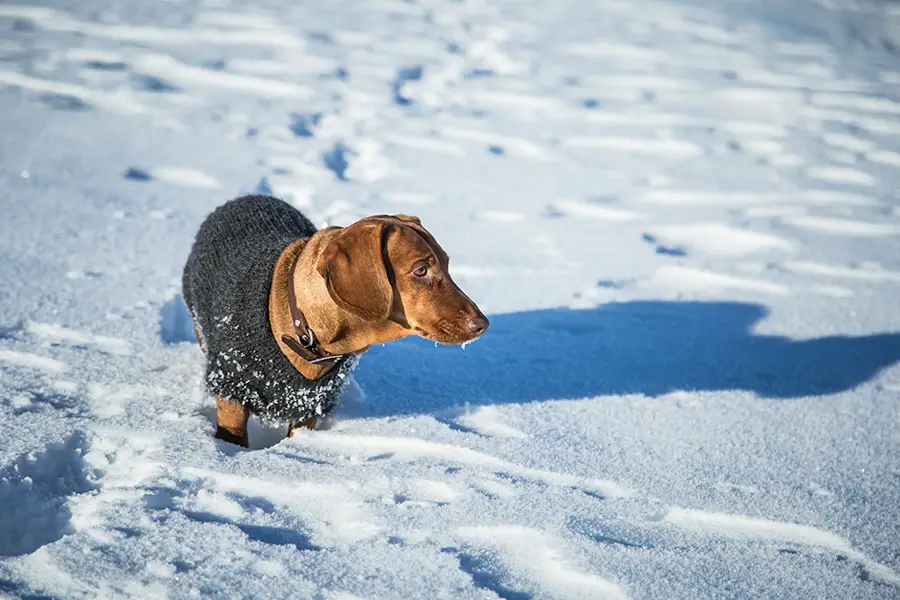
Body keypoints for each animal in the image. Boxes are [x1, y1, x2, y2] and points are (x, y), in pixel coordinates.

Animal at [183, 195, 488, 448]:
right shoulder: (232, 390)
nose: (482, 324)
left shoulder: (309, 407)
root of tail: (245, 197)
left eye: (447, 264)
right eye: (421, 270)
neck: (306, 332)